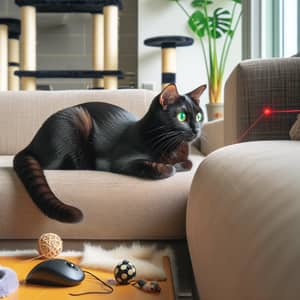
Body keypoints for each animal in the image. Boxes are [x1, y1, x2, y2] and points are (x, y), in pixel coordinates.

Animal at [14, 84, 206, 223]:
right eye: (181, 117)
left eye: (199, 117)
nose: (197, 129)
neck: (173, 146)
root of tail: (31, 143)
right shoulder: (121, 161)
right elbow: (167, 169)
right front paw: (170, 166)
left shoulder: (185, 158)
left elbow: (188, 163)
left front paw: (178, 164)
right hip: (75, 119)